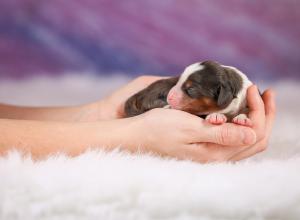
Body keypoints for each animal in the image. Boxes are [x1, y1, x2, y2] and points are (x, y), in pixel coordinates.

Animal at [124, 60, 253, 126]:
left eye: (191, 89)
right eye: (179, 81)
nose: (169, 97)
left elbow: (246, 109)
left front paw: (242, 117)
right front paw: (216, 116)